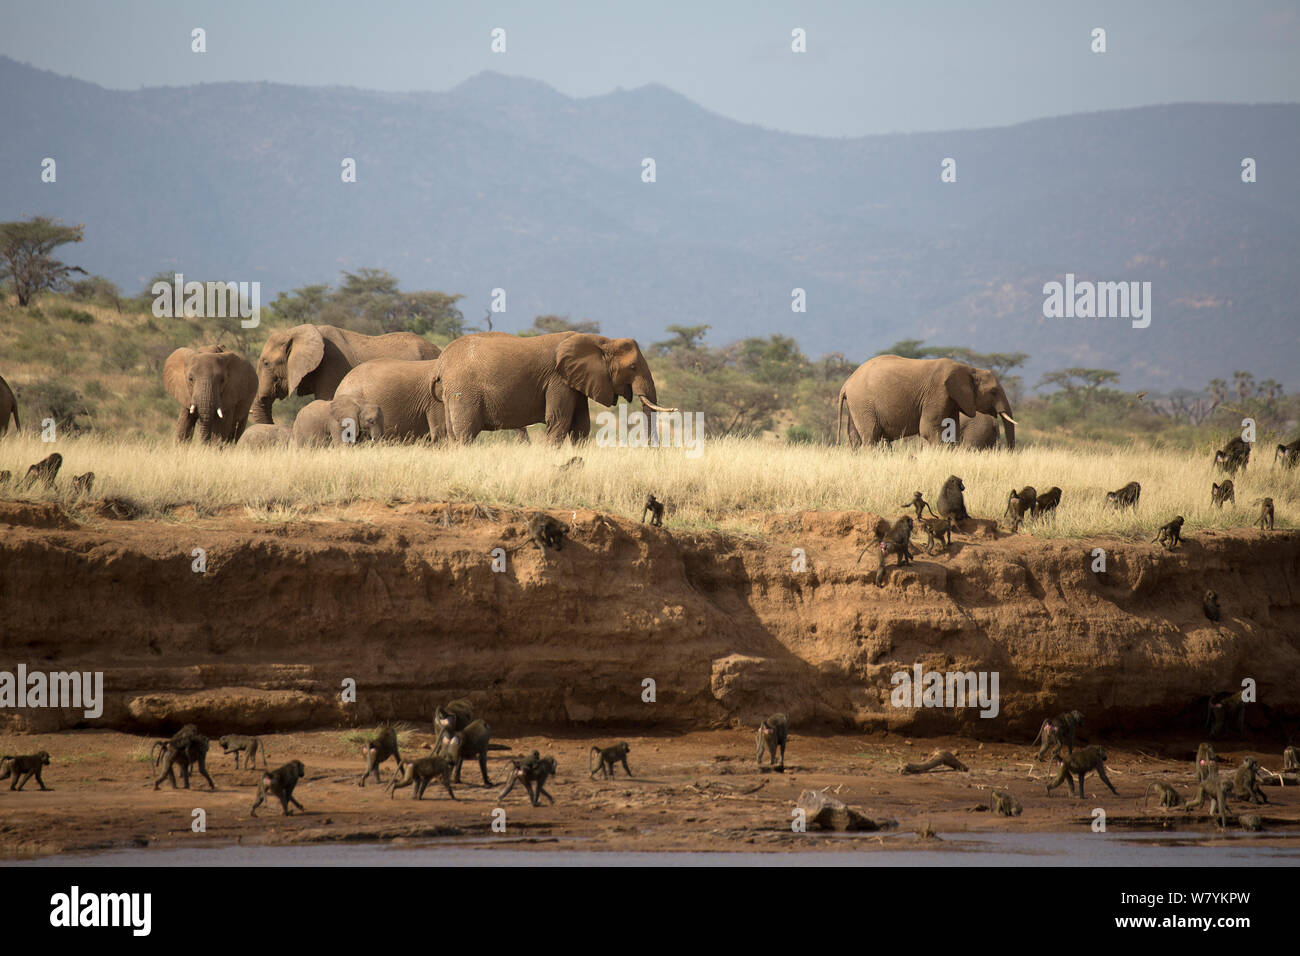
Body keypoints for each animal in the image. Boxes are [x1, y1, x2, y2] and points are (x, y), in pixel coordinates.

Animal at [439, 330, 681, 447]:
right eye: (632, 367)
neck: (601, 341)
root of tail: (442, 361)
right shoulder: (558, 380)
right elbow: (559, 420)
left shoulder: (576, 382)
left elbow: (581, 424)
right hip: (465, 393)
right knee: (465, 432)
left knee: (453, 433)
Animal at [837, 356, 1019, 450]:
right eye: (993, 392)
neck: (968, 369)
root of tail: (846, 383)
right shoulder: (937, 393)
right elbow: (928, 430)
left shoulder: (951, 399)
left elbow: (950, 431)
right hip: (863, 403)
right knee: (871, 435)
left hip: (858, 405)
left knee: (856, 438)